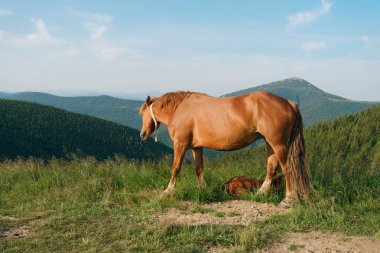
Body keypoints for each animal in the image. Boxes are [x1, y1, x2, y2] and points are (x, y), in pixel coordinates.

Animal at [138, 91, 310, 206]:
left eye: (143, 113)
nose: (142, 134)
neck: (180, 109)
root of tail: (288, 103)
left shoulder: (180, 144)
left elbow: (175, 168)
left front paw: (168, 191)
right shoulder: (196, 147)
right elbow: (199, 168)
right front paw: (202, 189)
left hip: (278, 144)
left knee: (287, 169)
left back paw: (288, 199)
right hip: (270, 143)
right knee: (272, 168)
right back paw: (260, 193)